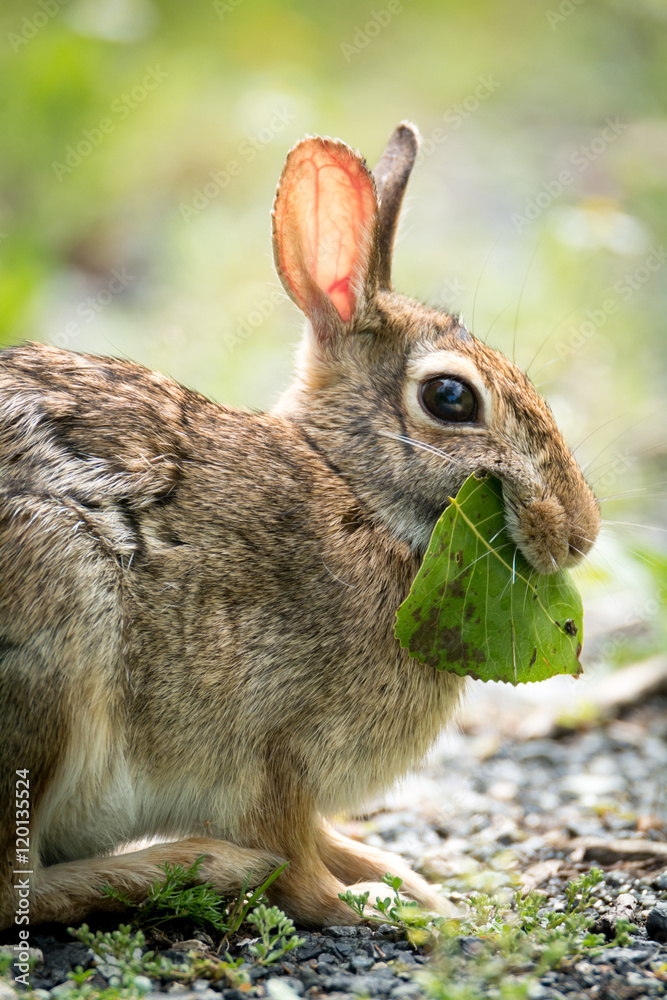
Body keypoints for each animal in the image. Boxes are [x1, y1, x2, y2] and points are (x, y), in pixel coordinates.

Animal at [0, 122, 600, 932]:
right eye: (449, 397)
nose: (580, 535)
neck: (352, 490)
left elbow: (326, 838)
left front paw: (414, 886)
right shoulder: (271, 751)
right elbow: (297, 859)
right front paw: (370, 907)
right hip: (55, 636)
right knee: (15, 886)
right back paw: (202, 866)